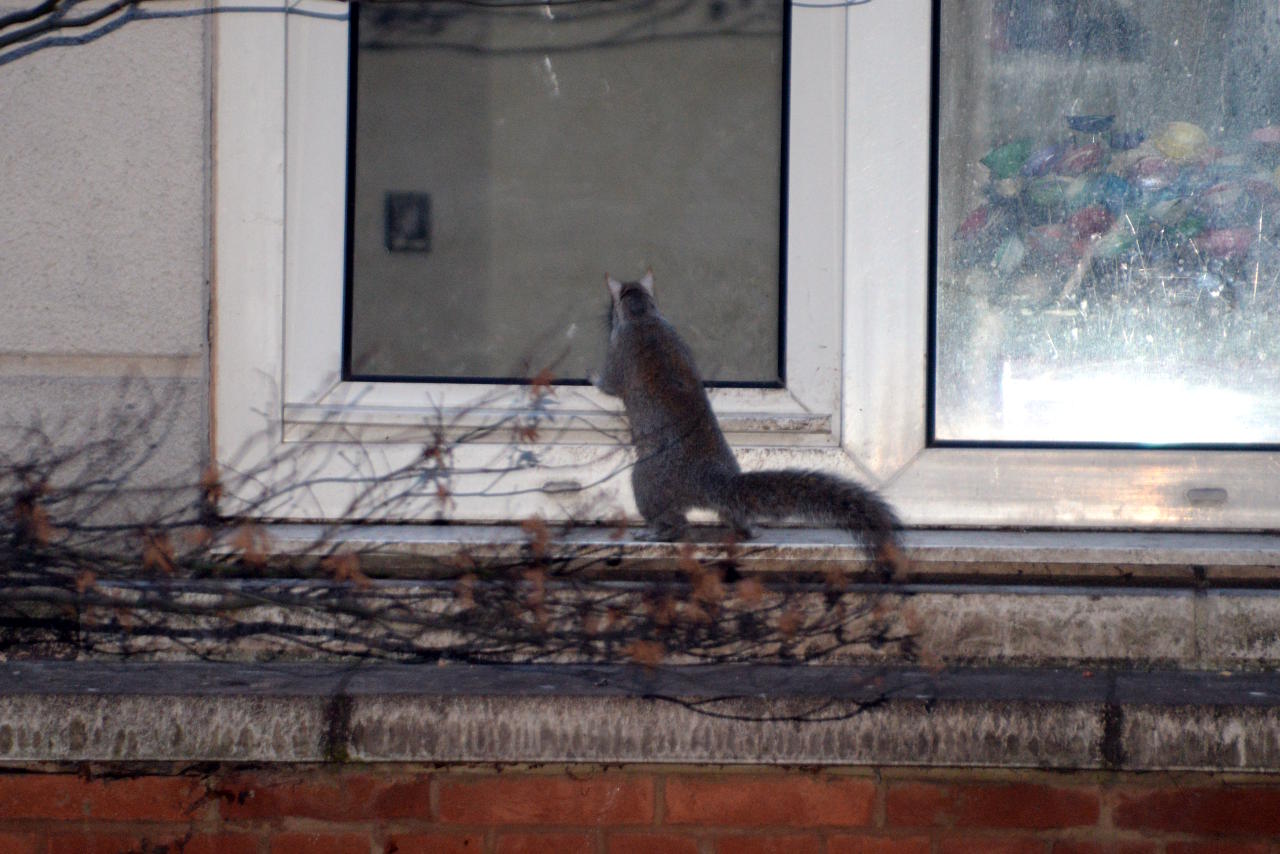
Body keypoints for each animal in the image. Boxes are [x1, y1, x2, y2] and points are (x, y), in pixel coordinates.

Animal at [593, 269, 905, 576]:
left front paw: (593, 377)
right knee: (731, 514)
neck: (642, 315)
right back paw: (750, 530)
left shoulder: (618, 356)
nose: (607, 317)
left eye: (612, 308)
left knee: (674, 525)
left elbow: (609, 384)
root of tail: (709, 480)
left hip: (648, 484)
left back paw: (653, 533)